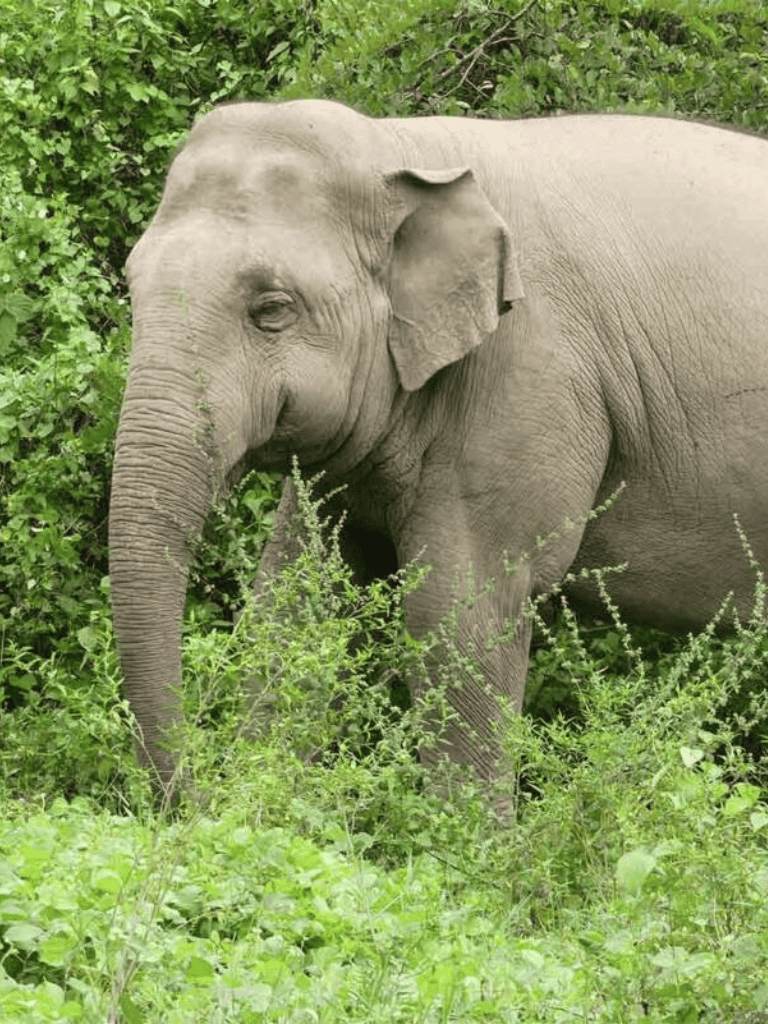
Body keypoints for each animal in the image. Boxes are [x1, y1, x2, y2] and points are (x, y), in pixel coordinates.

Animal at [109, 98, 768, 797]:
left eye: (272, 309)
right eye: (133, 285)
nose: (193, 795)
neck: (407, 149)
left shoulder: (528, 381)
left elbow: (456, 611)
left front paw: (464, 831)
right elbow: (297, 593)